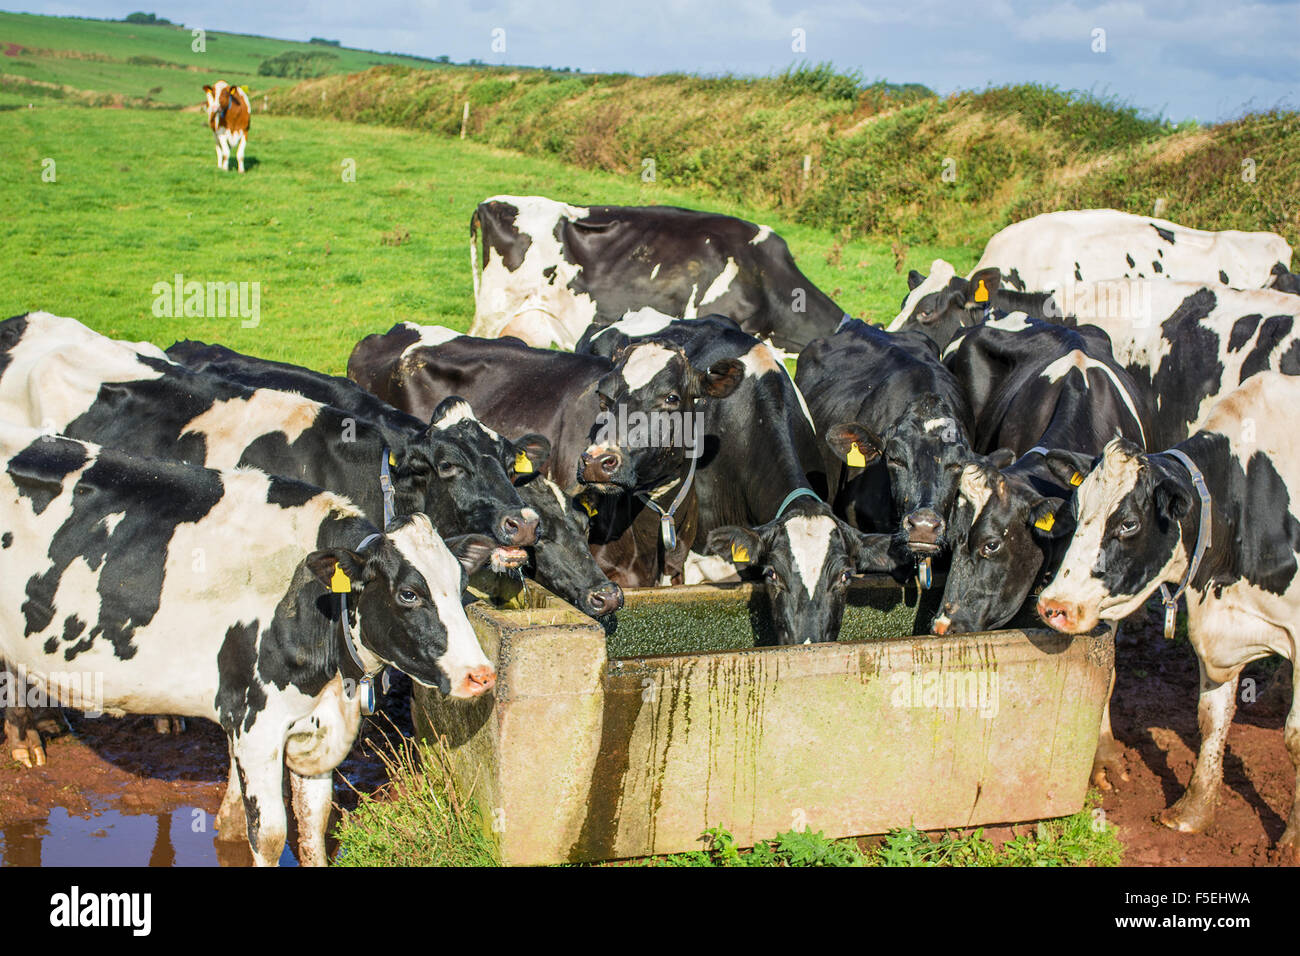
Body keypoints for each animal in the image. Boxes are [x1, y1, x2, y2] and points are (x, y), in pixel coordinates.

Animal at [0, 421, 496, 863]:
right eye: (409, 594)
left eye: (461, 583)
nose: (482, 675)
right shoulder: (254, 723)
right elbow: (271, 835)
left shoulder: (314, 725)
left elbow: (313, 825)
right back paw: (25, 743)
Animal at [1034, 369, 1300, 858]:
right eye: (1075, 513)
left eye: (1129, 524)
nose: (1054, 606)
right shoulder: (1215, 629)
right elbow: (1211, 716)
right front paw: (1193, 811)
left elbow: (1294, 739)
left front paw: (1291, 841)